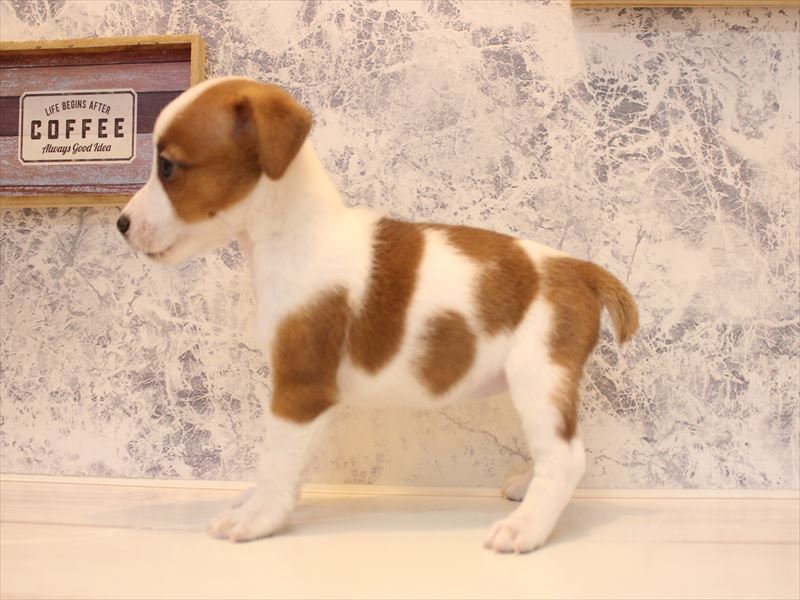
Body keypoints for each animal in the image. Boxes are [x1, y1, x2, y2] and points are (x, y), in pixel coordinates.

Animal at [118, 77, 639, 553]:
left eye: (168, 167)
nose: (121, 223)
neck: (297, 234)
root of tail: (579, 268)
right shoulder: (308, 401)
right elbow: (291, 464)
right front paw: (260, 504)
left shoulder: (299, 389)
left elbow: (276, 459)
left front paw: (258, 518)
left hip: (539, 375)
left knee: (565, 457)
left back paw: (526, 529)